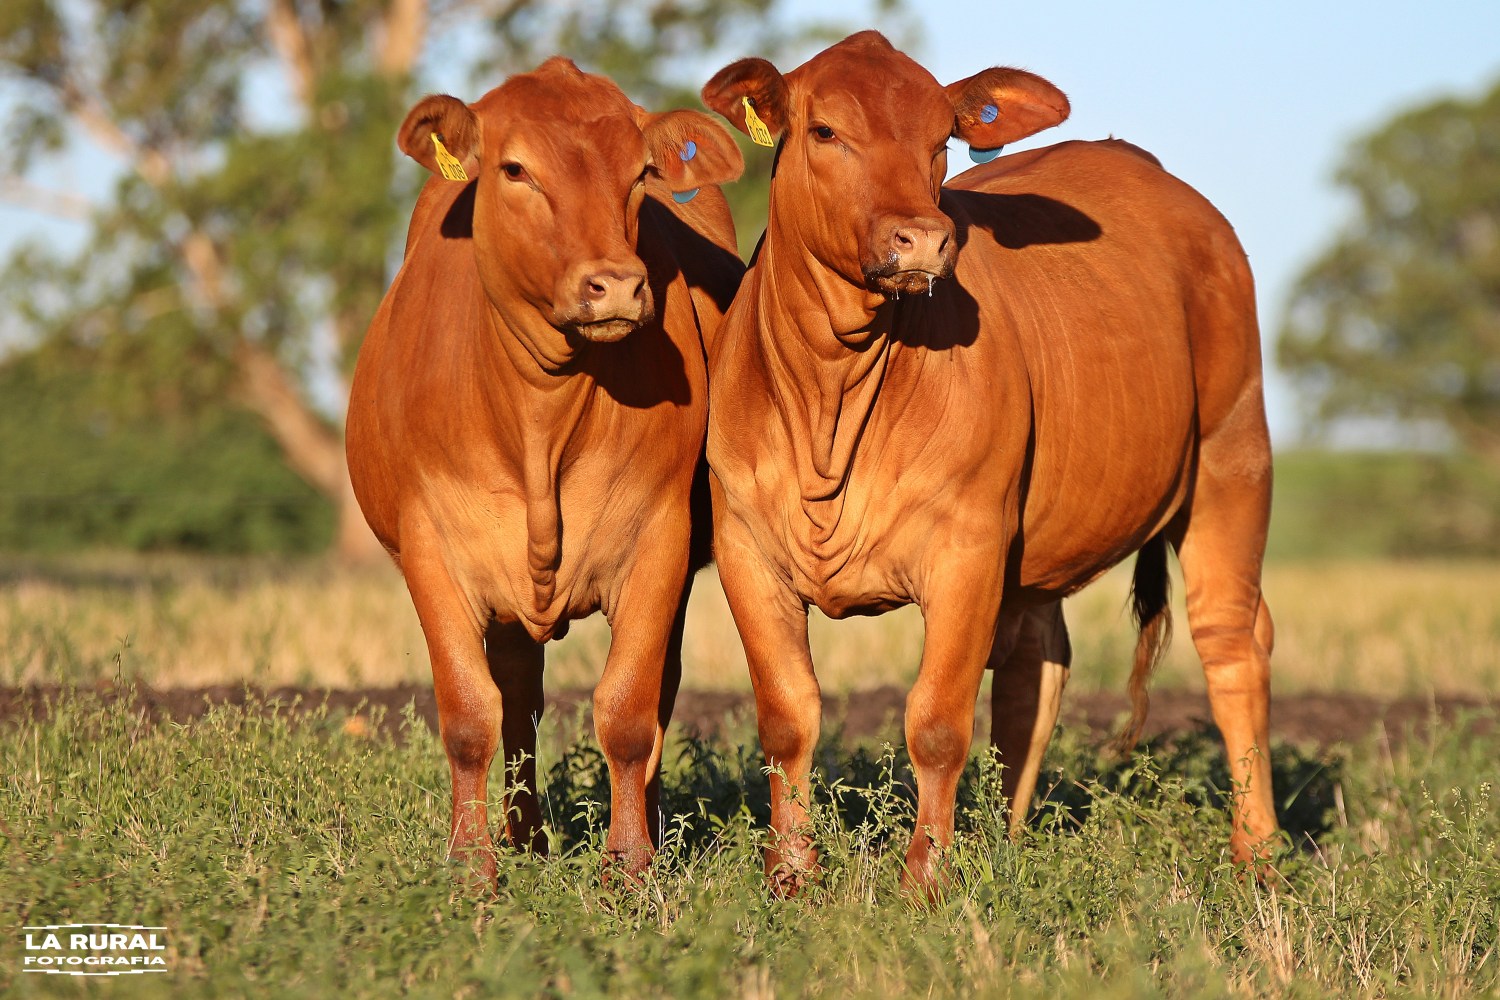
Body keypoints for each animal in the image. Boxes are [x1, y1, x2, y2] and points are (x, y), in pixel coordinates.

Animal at [345, 58, 744, 881]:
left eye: (641, 173)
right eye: (516, 169)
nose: (616, 284)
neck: (539, 410)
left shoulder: (659, 541)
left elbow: (628, 711)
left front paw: (631, 866)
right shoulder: (433, 548)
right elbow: (471, 714)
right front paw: (473, 867)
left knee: (652, 694)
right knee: (517, 698)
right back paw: (522, 837)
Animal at [702, 31, 1278, 893]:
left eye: (943, 138)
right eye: (825, 131)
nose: (922, 238)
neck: (830, 393)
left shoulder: (967, 546)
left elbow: (937, 721)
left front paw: (925, 881)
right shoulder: (744, 547)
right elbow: (787, 717)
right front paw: (791, 877)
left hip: (1231, 458)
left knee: (1233, 642)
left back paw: (1259, 856)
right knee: (1036, 670)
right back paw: (1008, 846)